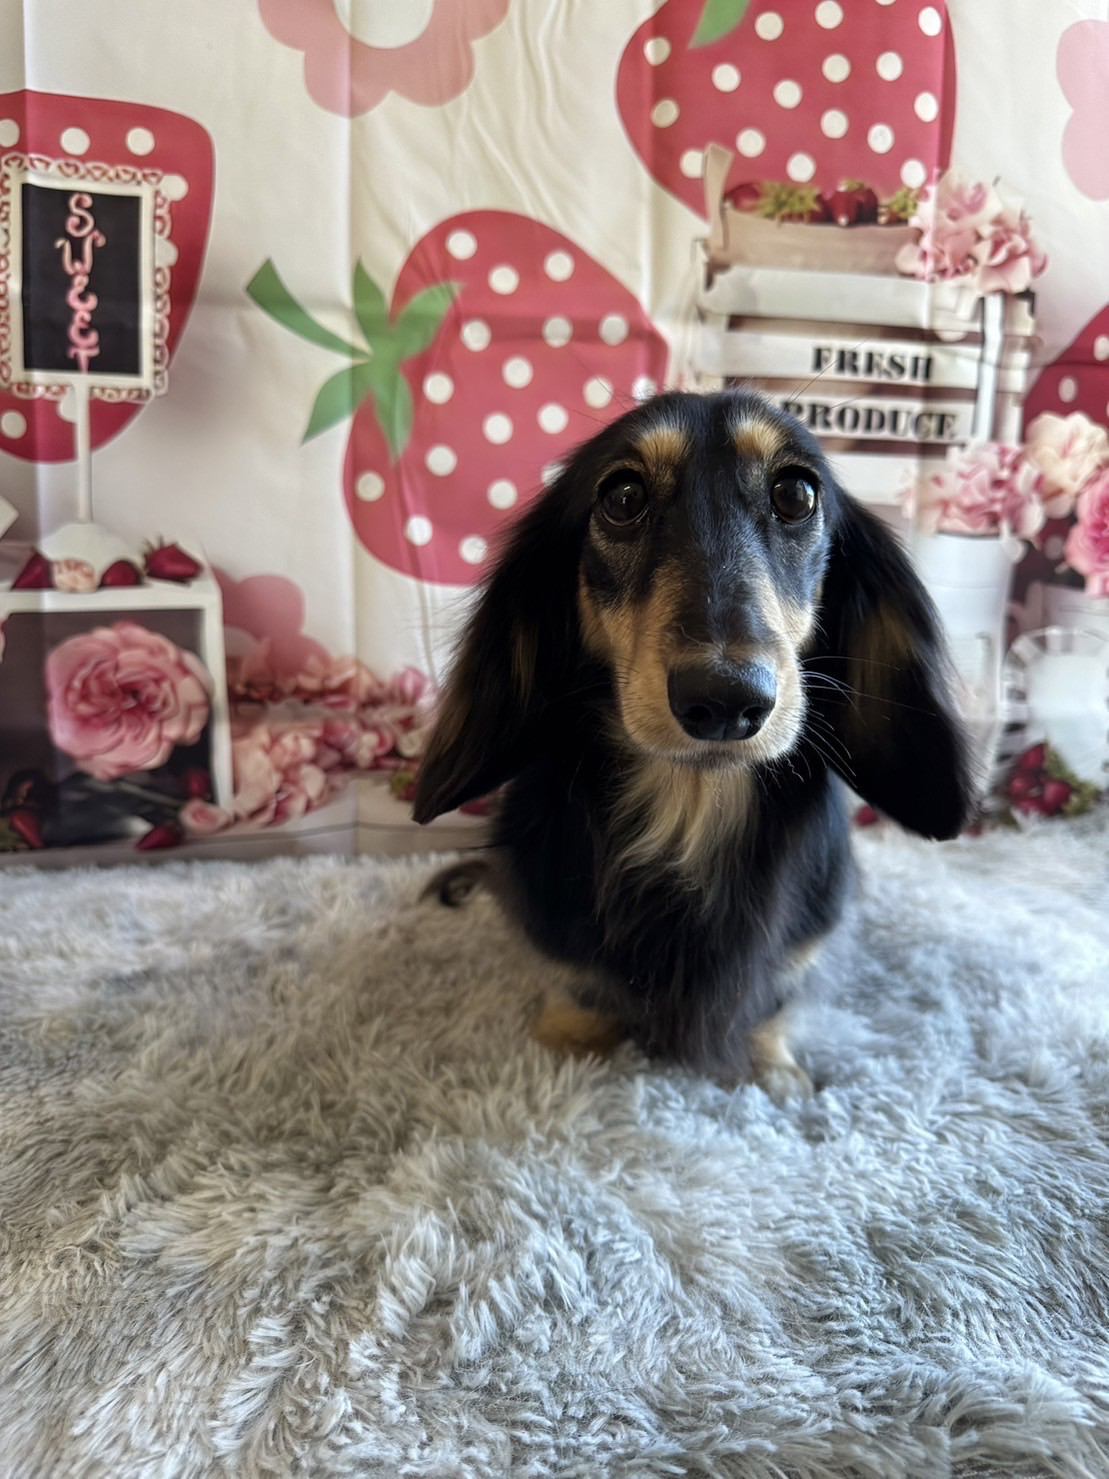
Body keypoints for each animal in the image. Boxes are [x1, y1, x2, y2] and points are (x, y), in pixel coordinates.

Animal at [413, 389, 976, 1095]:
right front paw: (570, 1044)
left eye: (796, 494)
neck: (691, 808)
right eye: (622, 496)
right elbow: (574, 986)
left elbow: (776, 1001)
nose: (727, 700)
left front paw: (773, 1066)